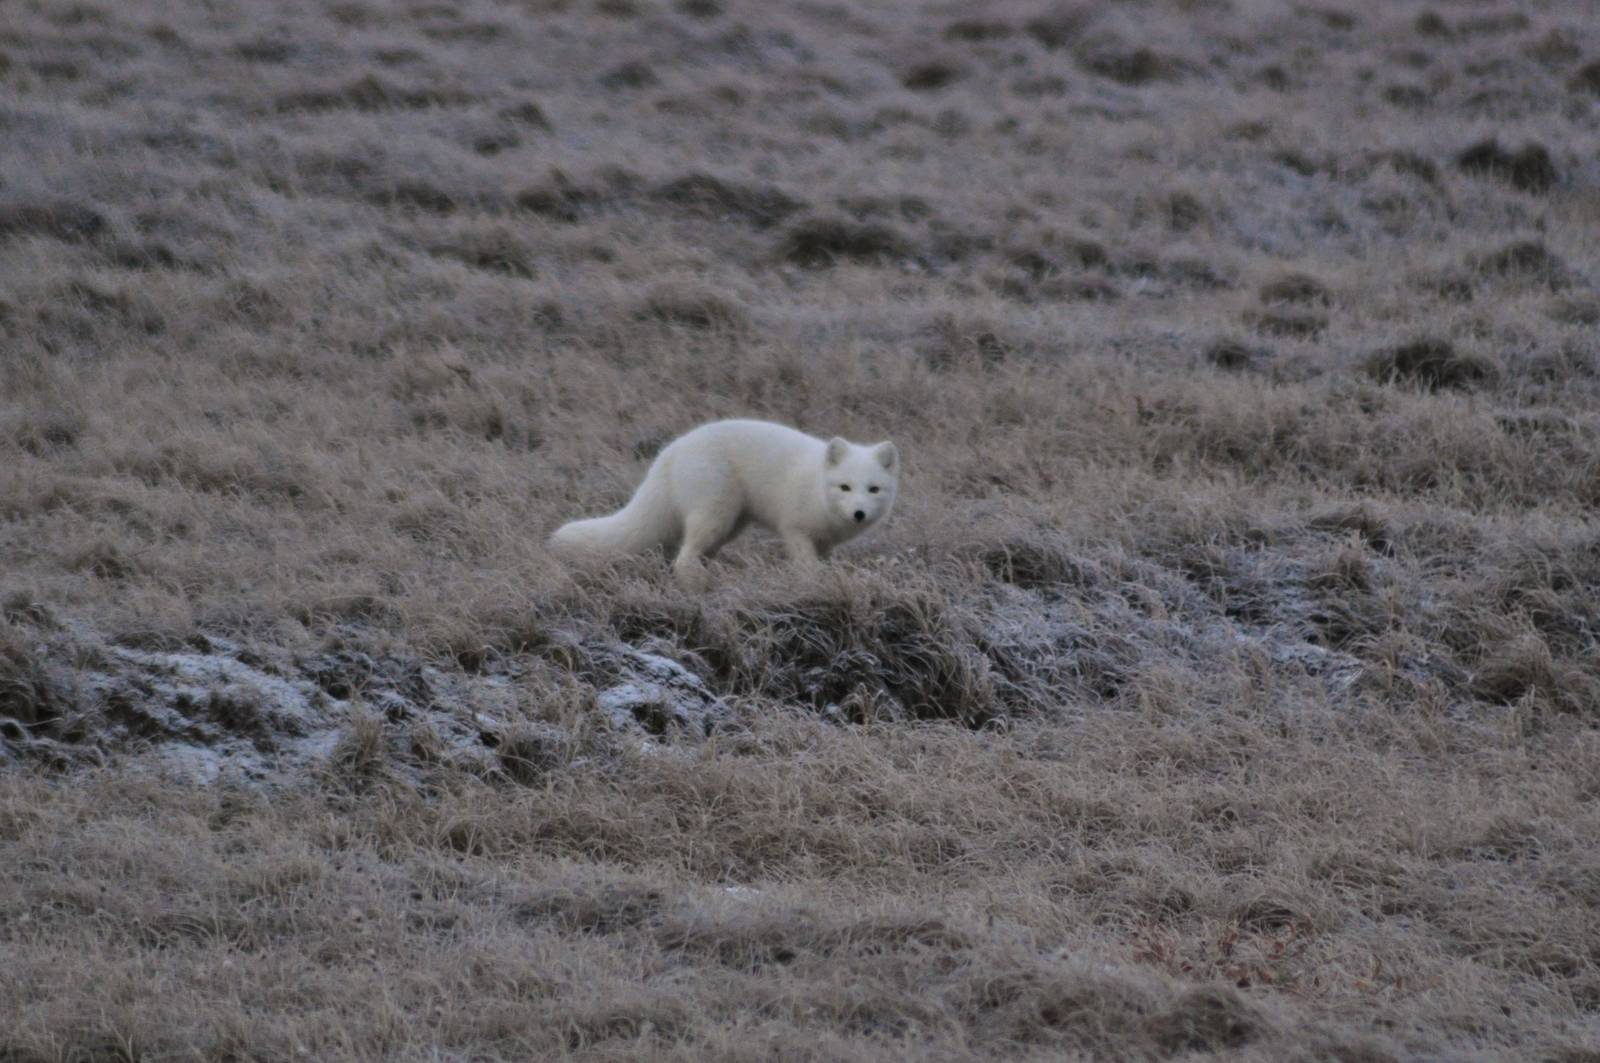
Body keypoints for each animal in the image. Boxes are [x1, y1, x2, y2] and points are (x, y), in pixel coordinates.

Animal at [549, 419, 899, 591]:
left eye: (873, 489)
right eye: (845, 487)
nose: (858, 513)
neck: (817, 489)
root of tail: (673, 449)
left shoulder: (825, 544)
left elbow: (822, 564)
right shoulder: (794, 530)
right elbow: (806, 566)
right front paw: (813, 585)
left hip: (729, 526)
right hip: (715, 515)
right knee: (683, 558)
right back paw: (698, 586)